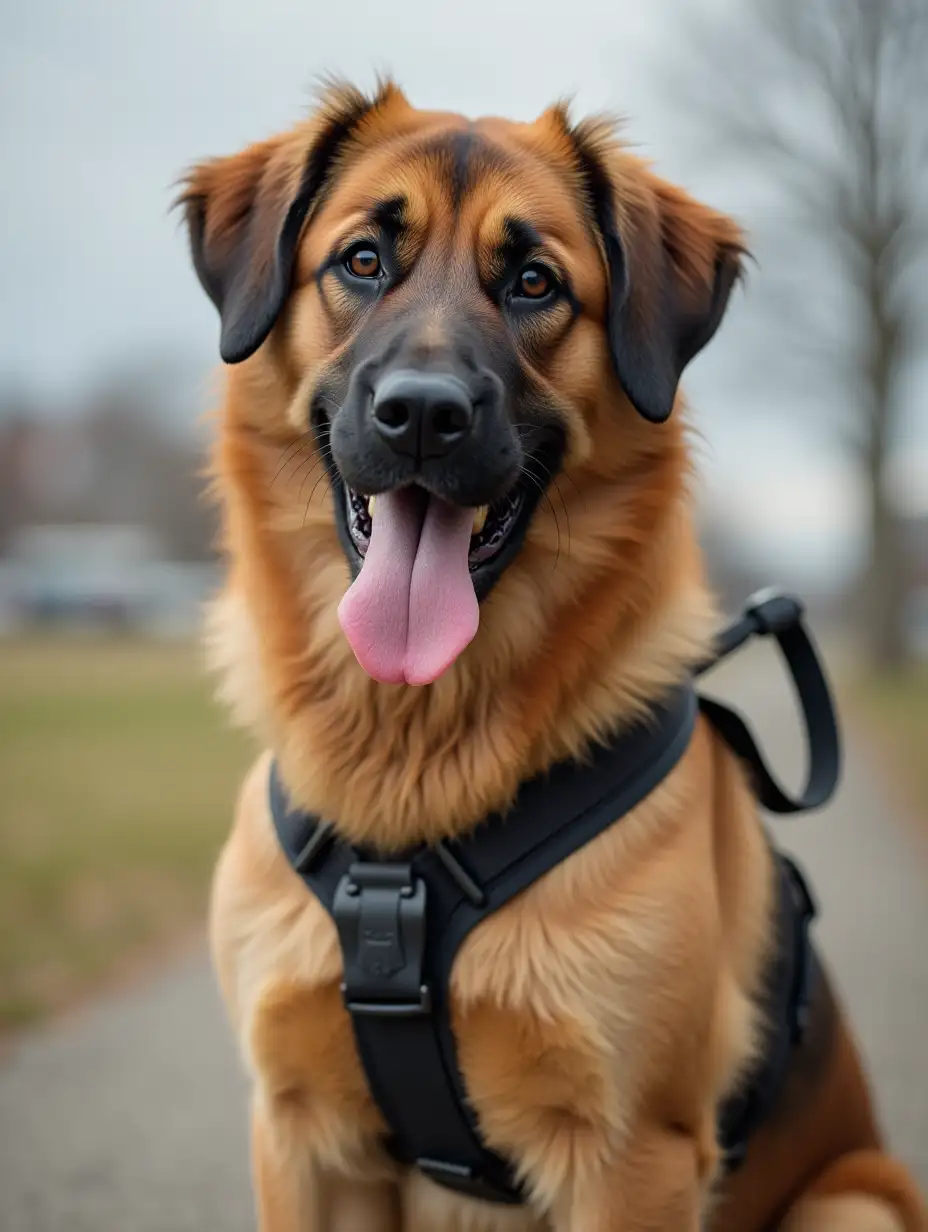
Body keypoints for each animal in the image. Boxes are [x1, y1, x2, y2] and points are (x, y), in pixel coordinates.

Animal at [177, 81, 921, 1227]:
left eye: (534, 282)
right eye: (362, 260)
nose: (421, 415)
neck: (411, 771)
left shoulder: (632, 1155)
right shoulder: (302, 1136)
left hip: (852, 1200)